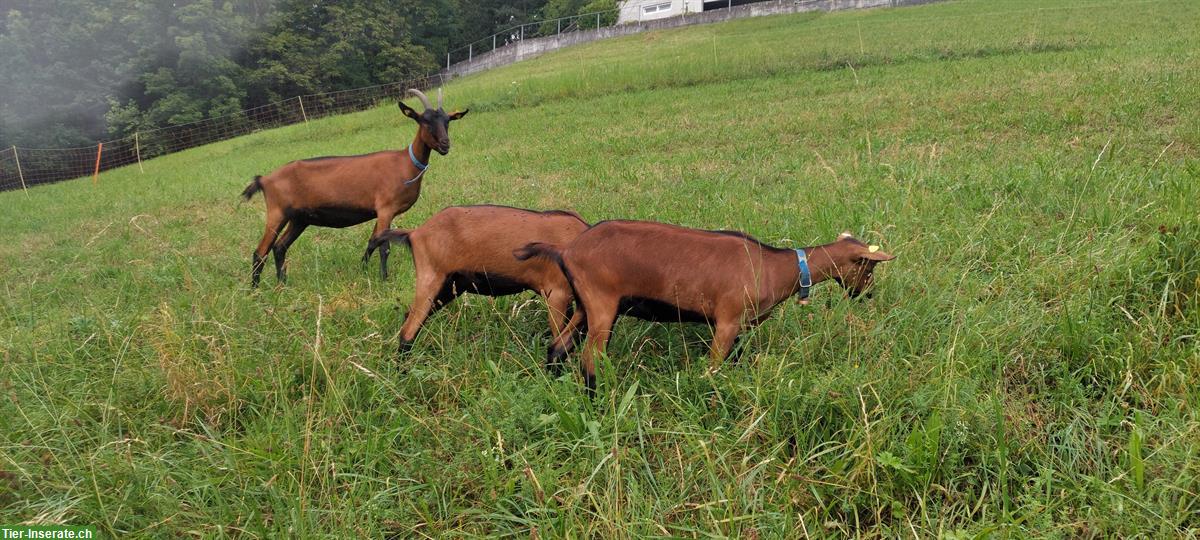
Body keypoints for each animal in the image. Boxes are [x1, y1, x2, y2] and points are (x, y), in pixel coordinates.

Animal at [241, 87, 465, 286]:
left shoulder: (381, 212)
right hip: (277, 213)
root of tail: (265, 179)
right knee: (260, 251)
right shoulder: (386, 209)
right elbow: (384, 247)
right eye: (424, 121)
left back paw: (283, 283)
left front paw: (363, 269)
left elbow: (372, 241)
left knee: (279, 247)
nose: (445, 144)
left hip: (299, 219)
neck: (405, 164)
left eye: (447, 121)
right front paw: (384, 279)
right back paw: (255, 290)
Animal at [367, 205, 588, 357]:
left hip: (450, 287)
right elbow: (560, 341)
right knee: (408, 330)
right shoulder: (556, 293)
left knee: (409, 318)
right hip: (430, 279)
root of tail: (414, 233)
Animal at [511, 220, 897, 391]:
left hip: (584, 305)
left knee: (557, 347)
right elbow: (712, 368)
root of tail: (566, 251)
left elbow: (734, 363)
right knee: (590, 358)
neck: (778, 266)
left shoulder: (740, 329)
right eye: (869, 267)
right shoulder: (726, 321)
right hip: (602, 303)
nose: (866, 295)